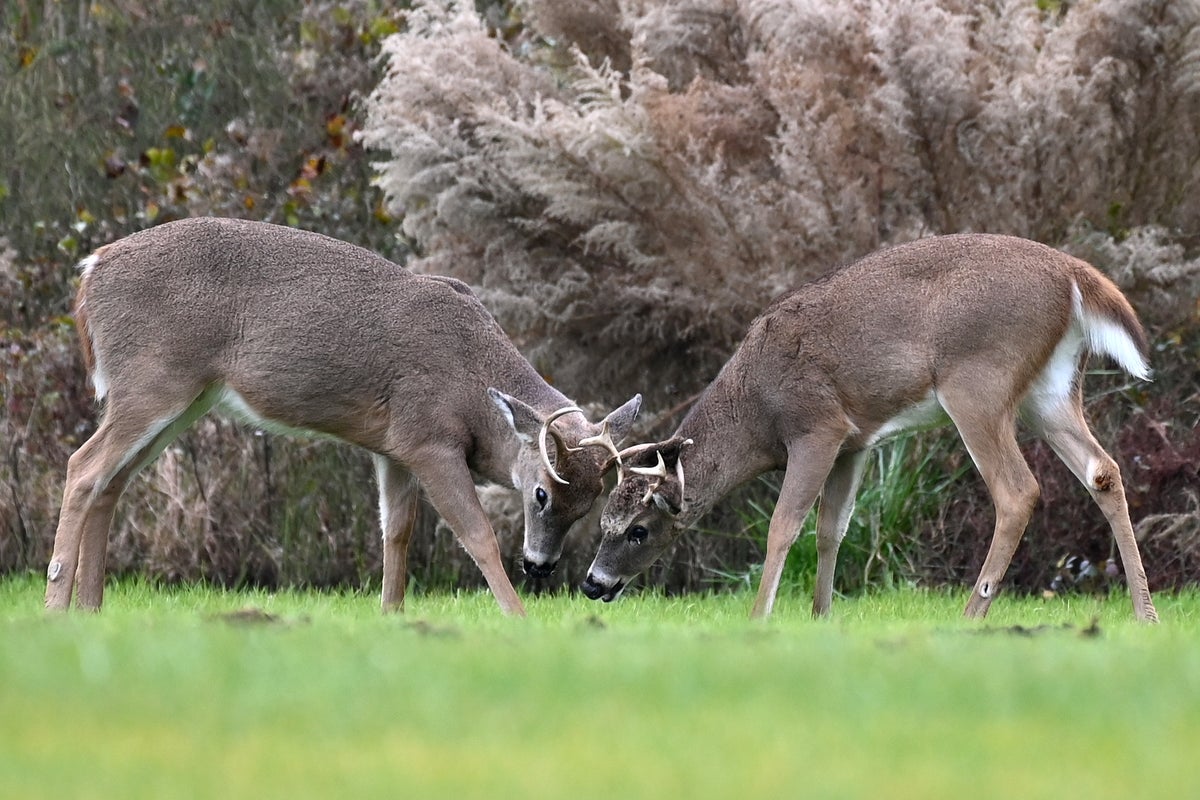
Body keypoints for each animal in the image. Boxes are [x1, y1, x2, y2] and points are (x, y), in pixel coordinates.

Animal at [45, 217, 641, 616]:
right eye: (541, 493)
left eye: (590, 503)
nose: (541, 565)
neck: (473, 386)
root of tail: (91, 271)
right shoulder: (429, 438)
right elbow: (477, 535)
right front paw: (517, 618)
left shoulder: (394, 448)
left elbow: (396, 534)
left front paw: (391, 616)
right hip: (152, 380)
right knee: (82, 467)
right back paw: (56, 605)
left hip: (182, 400)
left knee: (112, 481)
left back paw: (91, 608)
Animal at [582, 234, 1159, 623]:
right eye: (602, 523)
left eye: (638, 529)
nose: (592, 583)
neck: (755, 410)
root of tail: (1073, 274)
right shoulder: (854, 441)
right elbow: (831, 528)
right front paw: (821, 616)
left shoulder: (817, 426)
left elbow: (784, 524)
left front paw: (760, 617)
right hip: (1051, 390)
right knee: (1102, 470)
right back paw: (1144, 612)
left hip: (977, 381)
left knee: (1018, 491)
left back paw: (971, 615)